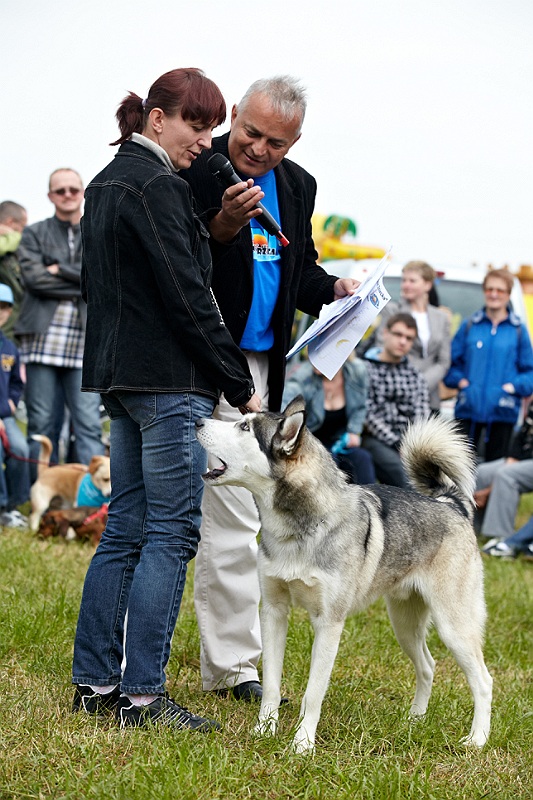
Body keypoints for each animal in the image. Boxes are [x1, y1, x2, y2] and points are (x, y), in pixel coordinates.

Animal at [195, 397, 493, 753]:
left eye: (244, 427)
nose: (198, 421)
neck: (301, 530)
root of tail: (450, 504)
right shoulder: (273, 613)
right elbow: (271, 685)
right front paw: (264, 731)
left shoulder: (329, 624)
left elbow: (312, 694)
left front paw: (302, 745)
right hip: (404, 625)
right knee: (428, 666)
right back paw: (414, 721)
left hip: (453, 628)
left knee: (483, 680)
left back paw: (477, 739)